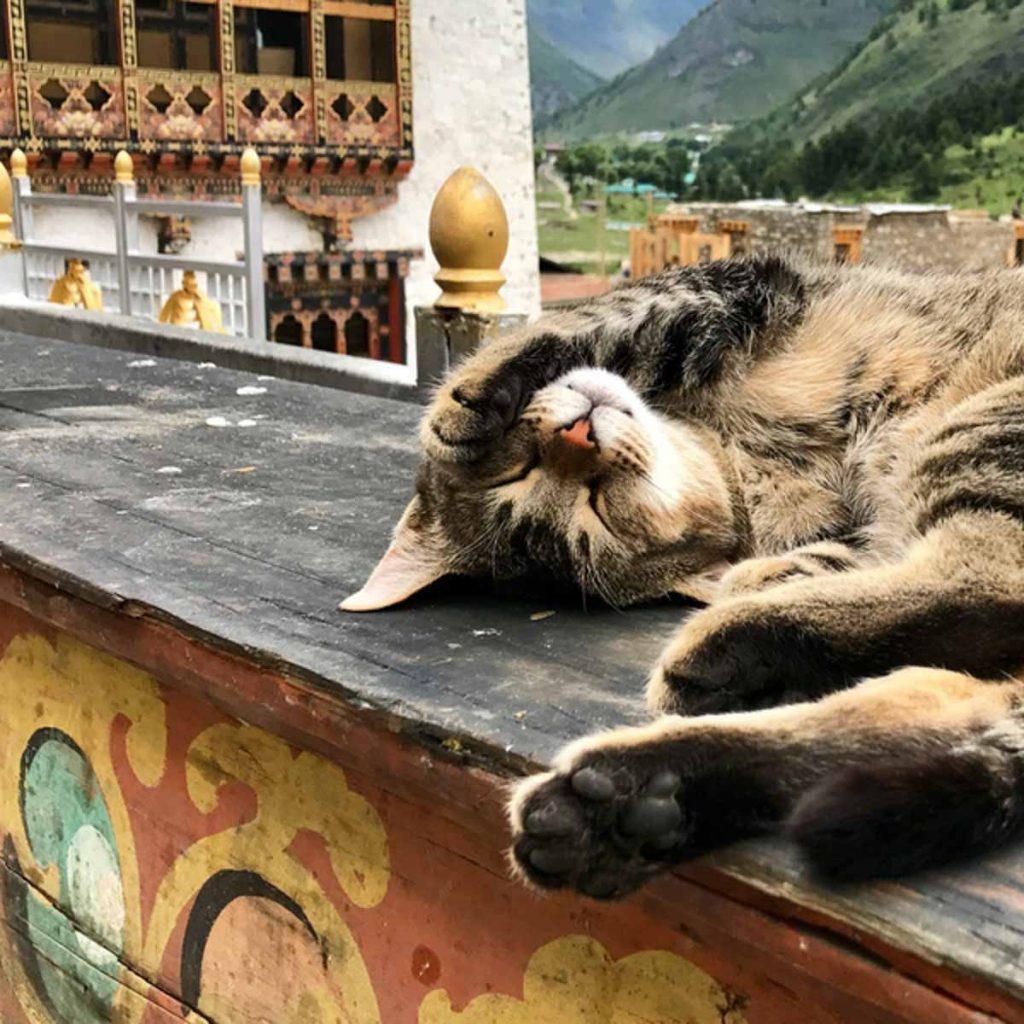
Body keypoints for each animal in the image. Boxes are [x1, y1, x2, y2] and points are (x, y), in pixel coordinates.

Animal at [342, 253, 1024, 897]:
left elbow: (570, 324)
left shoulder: (721, 289)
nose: (579, 432)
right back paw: (637, 794)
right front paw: (771, 575)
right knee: (953, 645)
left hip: (985, 419)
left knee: (982, 599)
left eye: (587, 499)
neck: (745, 459)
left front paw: (460, 407)